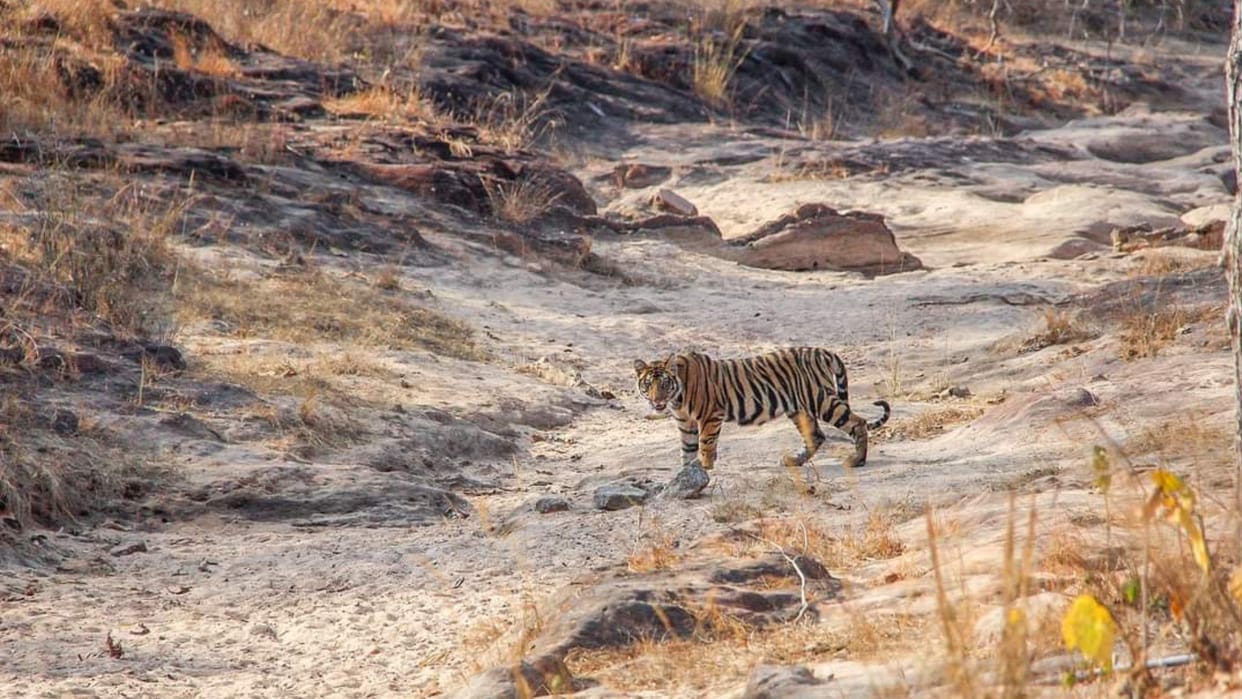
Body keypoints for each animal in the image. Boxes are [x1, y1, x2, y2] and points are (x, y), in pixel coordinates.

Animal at [633, 347, 890, 471]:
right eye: (649, 385)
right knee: (816, 435)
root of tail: (825, 352)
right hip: (799, 408)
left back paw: (856, 460)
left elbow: (705, 444)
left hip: (821, 400)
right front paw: (686, 474)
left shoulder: (710, 415)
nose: (657, 402)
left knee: (857, 422)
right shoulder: (685, 422)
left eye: (664, 384)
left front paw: (705, 467)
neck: (677, 397)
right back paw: (793, 461)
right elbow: (687, 449)